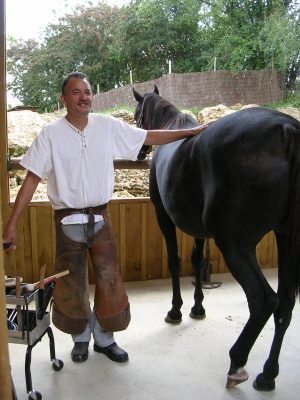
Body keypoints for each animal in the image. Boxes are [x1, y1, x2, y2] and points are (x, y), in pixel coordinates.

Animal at [133, 86, 300, 392]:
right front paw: (197, 308)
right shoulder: (200, 231)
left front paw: (176, 310)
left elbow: (175, 261)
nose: (140, 152)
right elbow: (197, 261)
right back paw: (267, 375)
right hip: (286, 238)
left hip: (236, 245)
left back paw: (237, 363)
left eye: (138, 115)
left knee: (264, 300)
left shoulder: (163, 216)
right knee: (285, 303)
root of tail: (286, 128)